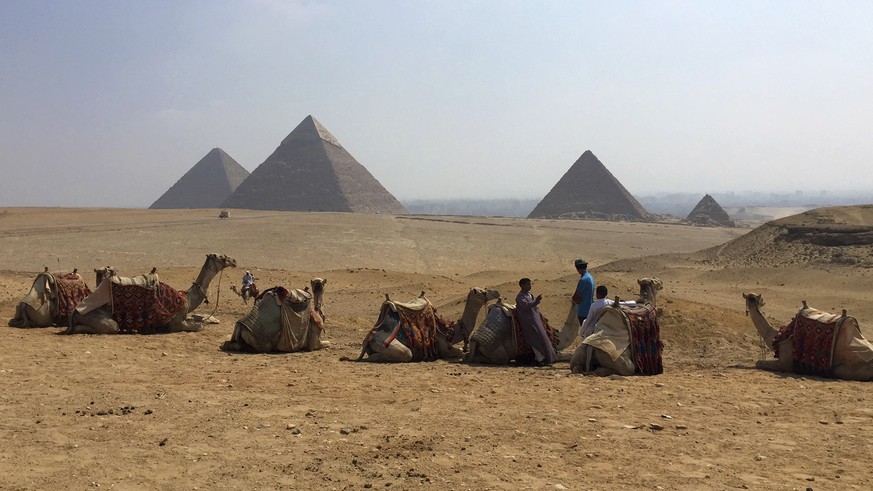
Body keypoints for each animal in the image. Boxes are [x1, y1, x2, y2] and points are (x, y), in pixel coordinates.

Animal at [66, 254, 235, 334]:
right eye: (221, 257)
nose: (233, 260)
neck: (186, 298)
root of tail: (75, 312)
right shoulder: (175, 322)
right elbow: (199, 326)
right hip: (105, 321)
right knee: (110, 327)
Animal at [354, 288, 500, 362]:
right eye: (484, 292)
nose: (497, 292)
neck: (451, 331)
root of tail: (368, 339)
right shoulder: (442, 347)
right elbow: (459, 353)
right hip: (387, 344)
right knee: (405, 354)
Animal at [744, 294, 873, 382]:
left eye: (752, 298)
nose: (751, 301)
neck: (778, 336)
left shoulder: (785, 363)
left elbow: (758, 362)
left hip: (847, 369)